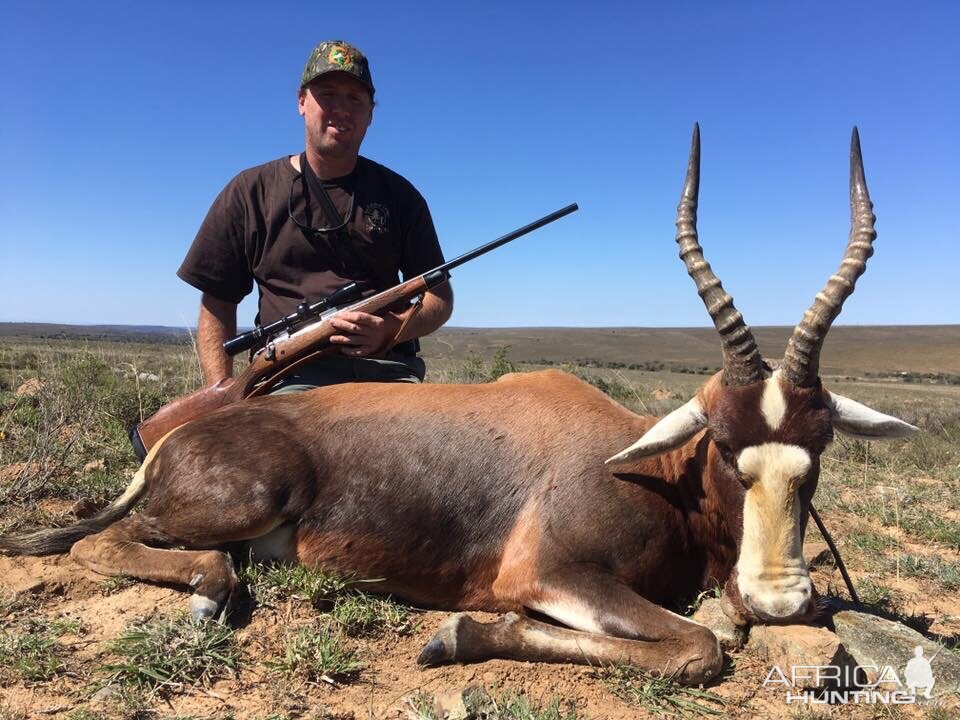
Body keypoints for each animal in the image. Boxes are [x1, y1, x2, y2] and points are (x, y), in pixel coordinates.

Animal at [0, 126, 916, 684]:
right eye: (723, 444)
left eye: (820, 448)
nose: (780, 600)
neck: (652, 470)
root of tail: (175, 436)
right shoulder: (547, 573)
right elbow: (700, 645)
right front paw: (455, 635)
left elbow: (708, 634)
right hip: (239, 501)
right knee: (101, 542)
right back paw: (204, 596)